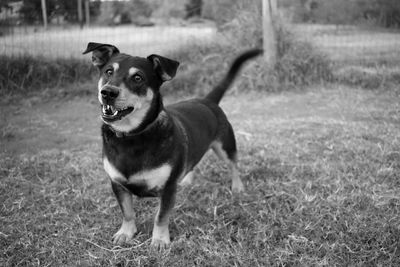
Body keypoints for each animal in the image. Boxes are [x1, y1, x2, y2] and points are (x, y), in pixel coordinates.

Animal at [83, 43, 260, 250]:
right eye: (109, 72)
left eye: (138, 78)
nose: (108, 92)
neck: (132, 136)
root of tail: (207, 100)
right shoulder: (117, 185)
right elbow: (127, 212)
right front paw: (126, 233)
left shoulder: (167, 189)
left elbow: (161, 216)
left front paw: (159, 240)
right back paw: (187, 179)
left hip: (225, 145)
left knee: (233, 165)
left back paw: (238, 186)